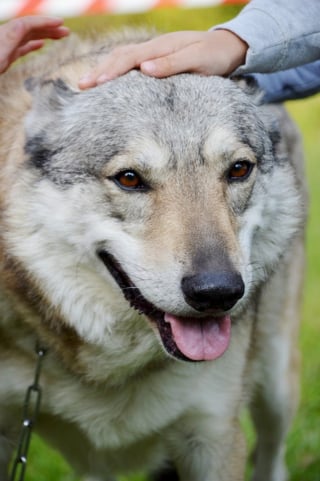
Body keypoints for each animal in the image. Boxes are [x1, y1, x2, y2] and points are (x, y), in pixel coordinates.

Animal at [0, 31, 308, 478]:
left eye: (238, 169)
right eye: (130, 178)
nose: (217, 292)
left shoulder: (213, 435)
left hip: (277, 389)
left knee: (272, 454)